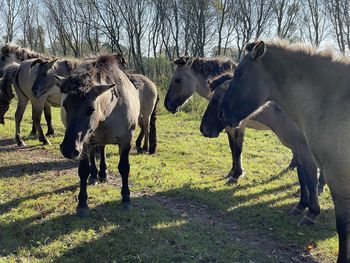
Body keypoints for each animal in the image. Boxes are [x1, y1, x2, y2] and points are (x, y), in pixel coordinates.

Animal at [54, 54, 139, 216]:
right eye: (65, 106)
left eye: (91, 109)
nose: (68, 149)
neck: (109, 110)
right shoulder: (83, 143)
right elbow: (83, 170)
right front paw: (82, 203)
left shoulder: (126, 140)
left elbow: (124, 168)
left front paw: (126, 199)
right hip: (88, 141)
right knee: (94, 153)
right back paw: (94, 176)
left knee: (102, 149)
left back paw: (103, 174)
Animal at [163, 56, 296, 183]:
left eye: (177, 80)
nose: (167, 105)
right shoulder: (228, 127)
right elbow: (232, 148)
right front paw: (232, 171)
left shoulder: (239, 126)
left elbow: (238, 149)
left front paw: (237, 174)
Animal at [201, 73, 326, 226]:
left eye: (214, 99)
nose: (203, 129)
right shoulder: (298, 151)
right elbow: (302, 179)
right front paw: (301, 206)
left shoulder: (305, 152)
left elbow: (310, 181)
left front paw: (311, 213)